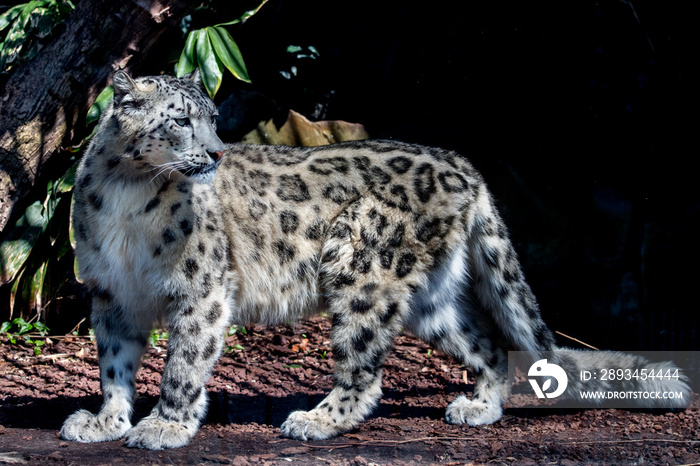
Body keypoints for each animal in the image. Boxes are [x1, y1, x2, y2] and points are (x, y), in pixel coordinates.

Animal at [58, 72, 688, 448]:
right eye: (180, 119)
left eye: (211, 117)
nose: (214, 152)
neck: (127, 192)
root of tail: (464, 165)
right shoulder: (111, 294)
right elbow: (114, 364)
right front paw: (106, 420)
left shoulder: (201, 289)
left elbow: (184, 365)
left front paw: (164, 425)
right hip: (431, 299)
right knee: (486, 342)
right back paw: (478, 407)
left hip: (362, 265)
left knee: (365, 369)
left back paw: (315, 420)